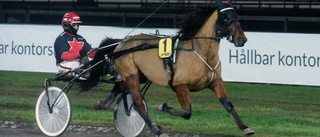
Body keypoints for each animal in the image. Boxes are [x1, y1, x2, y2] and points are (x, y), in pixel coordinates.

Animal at [80, 0, 255, 136]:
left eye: (237, 17)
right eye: (226, 17)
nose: (242, 40)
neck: (201, 52)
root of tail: (121, 43)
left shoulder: (215, 81)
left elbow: (228, 104)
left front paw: (245, 127)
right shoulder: (180, 85)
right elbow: (187, 112)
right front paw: (163, 106)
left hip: (140, 75)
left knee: (118, 86)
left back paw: (102, 104)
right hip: (131, 75)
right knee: (138, 103)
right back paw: (155, 129)